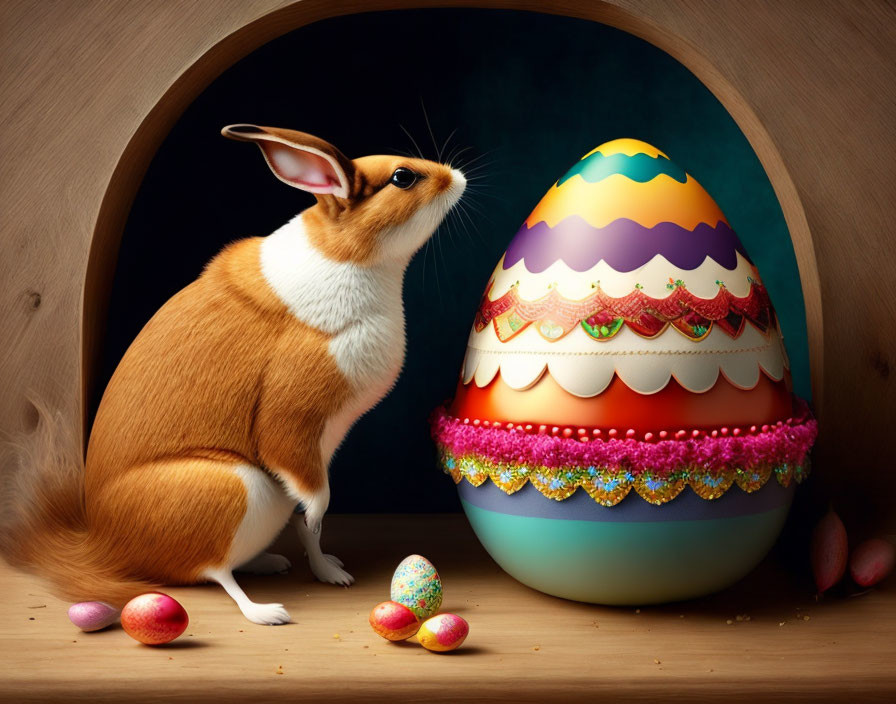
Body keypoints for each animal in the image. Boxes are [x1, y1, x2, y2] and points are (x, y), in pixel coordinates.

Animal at [0, 124, 462, 624]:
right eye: (402, 176)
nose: (456, 175)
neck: (347, 258)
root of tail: (103, 548)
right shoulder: (293, 428)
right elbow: (315, 507)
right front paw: (321, 560)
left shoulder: (322, 448)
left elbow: (311, 525)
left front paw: (328, 570)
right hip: (238, 485)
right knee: (214, 572)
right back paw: (265, 610)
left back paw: (269, 562)